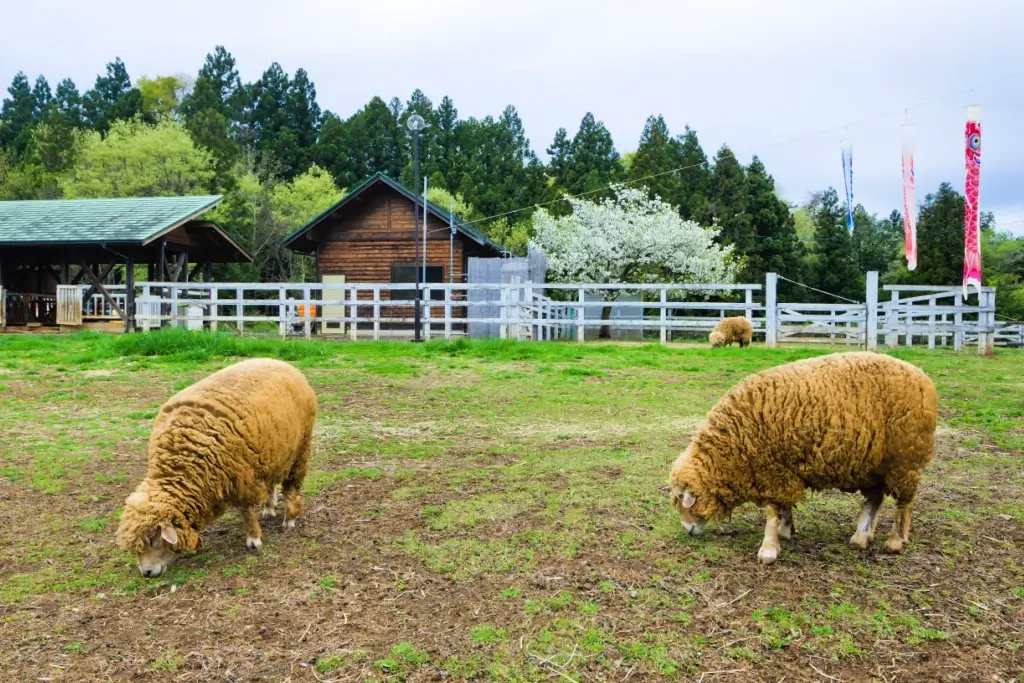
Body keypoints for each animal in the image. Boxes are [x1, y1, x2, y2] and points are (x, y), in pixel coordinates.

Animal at [116, 358, 315, 577]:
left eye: (153, 538)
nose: (146, 573)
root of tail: (280, 362)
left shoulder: (241, 478)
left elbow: (246, 513)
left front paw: (254, 540)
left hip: (301, 448)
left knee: (292, 486)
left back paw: (289, 518)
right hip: (271, 452)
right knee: (270, 482)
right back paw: (269, 508)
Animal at [667, 352, 937, 565]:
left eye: (681, 498)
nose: (688, 531)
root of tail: (923, 378)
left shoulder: (772, 470)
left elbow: (772, 512)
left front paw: (768, 549)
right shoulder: (781, 472)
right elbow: (784, 507)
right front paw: (786, 531)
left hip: (905, 460)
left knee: (904, 503)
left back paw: (895, 542)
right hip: (872, 465)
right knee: (875, 499)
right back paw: (861, 538)